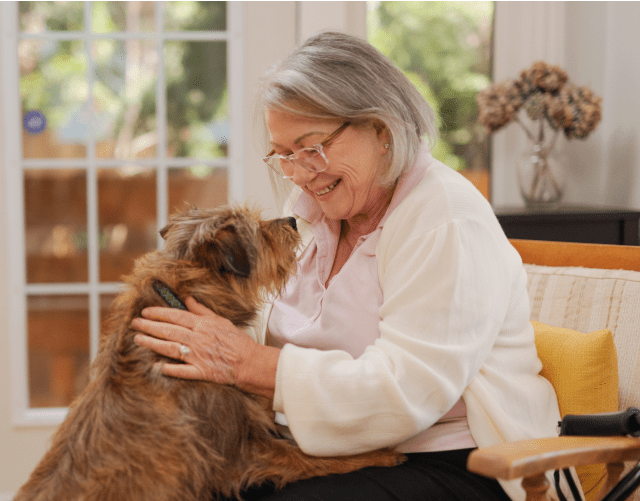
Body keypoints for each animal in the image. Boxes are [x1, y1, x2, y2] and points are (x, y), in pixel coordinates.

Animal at [15, 206, 402, 500]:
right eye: (259, 232)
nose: (292, 220)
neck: (182, 295)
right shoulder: (246, 452)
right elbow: (315, 457)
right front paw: (378, 454)